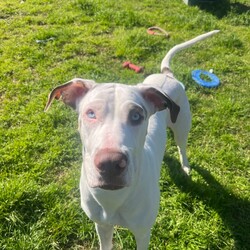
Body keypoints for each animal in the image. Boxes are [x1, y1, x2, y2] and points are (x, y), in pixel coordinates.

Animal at [45, 30, 219, 249]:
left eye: (136, 116)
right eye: (90, 113)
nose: (110, 164)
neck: (113, 198)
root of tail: (166, 74)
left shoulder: (143, 234)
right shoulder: (102, 226)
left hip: (182, 125)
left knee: (182, 147)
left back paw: (185, 166)